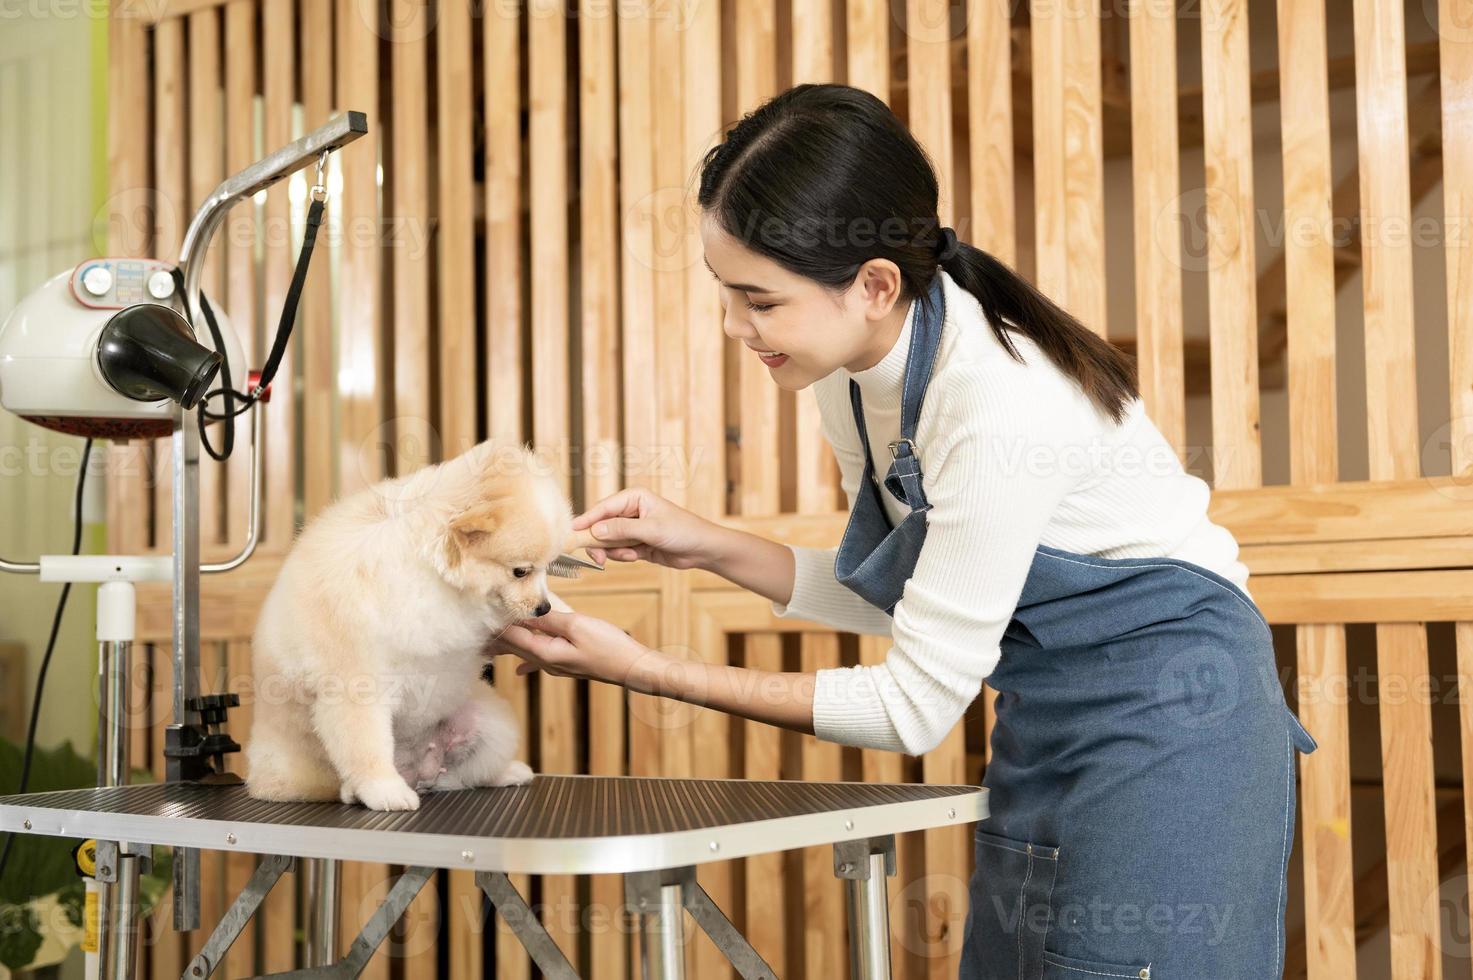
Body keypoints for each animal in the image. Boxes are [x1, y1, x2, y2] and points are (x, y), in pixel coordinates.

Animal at [244, 439, 571, 807]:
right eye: (520, 571)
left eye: (547, 568)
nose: (542, 608)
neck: (426, 572)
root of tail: (421, 770)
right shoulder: (355, 684)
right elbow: (366, 744)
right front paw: (383, 789)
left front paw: (560, 609)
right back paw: (368, 790)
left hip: (490, 723)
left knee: (469, 774)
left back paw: (508, 773)